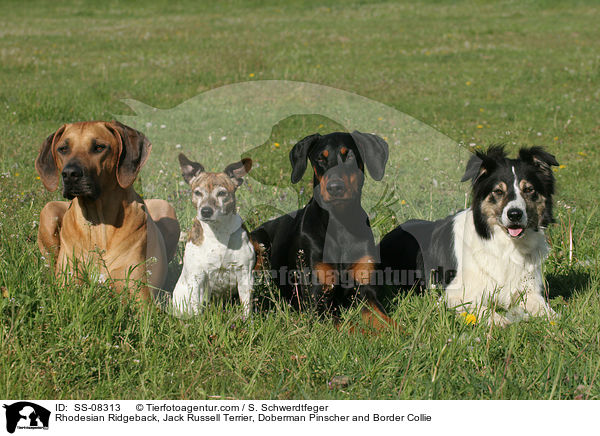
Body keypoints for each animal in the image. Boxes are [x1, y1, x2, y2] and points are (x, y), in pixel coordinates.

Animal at [35, 121, 179, 302]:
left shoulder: (141, 297)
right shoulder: (66, 289)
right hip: (48, 211)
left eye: (99, 147)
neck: (98, 223)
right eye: (63, 149)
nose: (69, 174)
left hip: (167, 209)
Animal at [173, 155, 258, 318]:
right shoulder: (197, 277)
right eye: (197, 192)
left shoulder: (245, 275)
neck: (217, 232)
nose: (206, 211)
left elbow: (246, 305)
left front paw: (247, 320)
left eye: (222, 193)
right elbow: (196, 307)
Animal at [251, 131, 396, 328]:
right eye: (320, 158)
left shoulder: (366, 291)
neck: (340, 223)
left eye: (349, 155)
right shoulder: (317, 300)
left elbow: (387, 322)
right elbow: (351, 329)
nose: (335, 188)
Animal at [382, 147, 560, 328]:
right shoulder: (450, 295)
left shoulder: (528, 291)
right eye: (498, 191)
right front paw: (499, 320)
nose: (515, 214)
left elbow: (549, 312)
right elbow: (479, 307)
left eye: (529, 189)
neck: (505, 245)